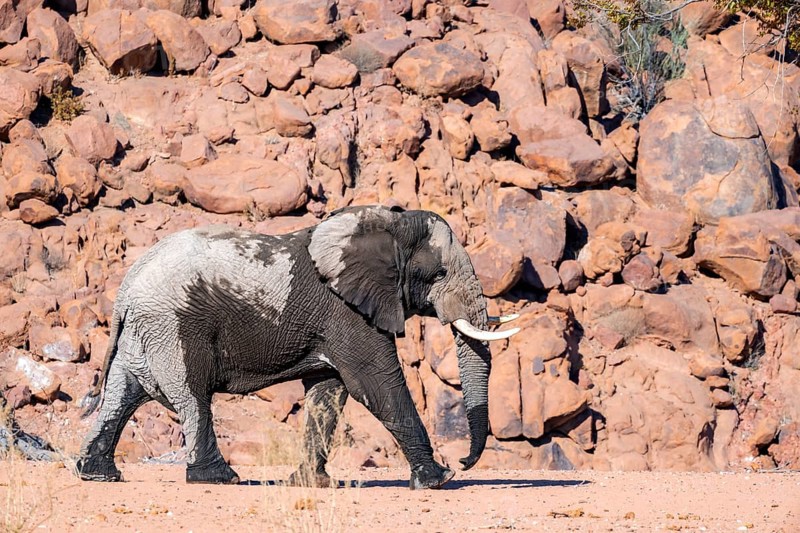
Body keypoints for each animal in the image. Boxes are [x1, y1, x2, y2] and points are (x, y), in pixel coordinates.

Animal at [76, 205, 519, 489]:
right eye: (438, 273)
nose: (463, 461)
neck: (388, 222)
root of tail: (125, 291)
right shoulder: (345, 311)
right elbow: (375, 383)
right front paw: (439, 479)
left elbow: (328, 393)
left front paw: (311, 484)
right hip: (173, 327)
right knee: (192, 397)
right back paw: (220, 478)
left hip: (145, 332)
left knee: (122, 395)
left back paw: (97, 474)